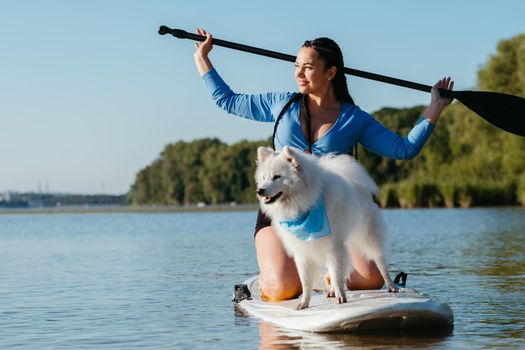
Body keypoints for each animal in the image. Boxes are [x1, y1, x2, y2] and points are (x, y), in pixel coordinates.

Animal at [255, 146, 398, 308]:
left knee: (380, 262)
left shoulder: (333, 246)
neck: (304, 203)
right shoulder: (302, 251)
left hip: (368, 237)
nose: (260, 190)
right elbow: (306, 281)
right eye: (264, 178)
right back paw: (331, 290)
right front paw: (304, 303)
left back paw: (391, 285)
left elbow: (336, 273)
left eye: (277, 177)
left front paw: (340, 296)